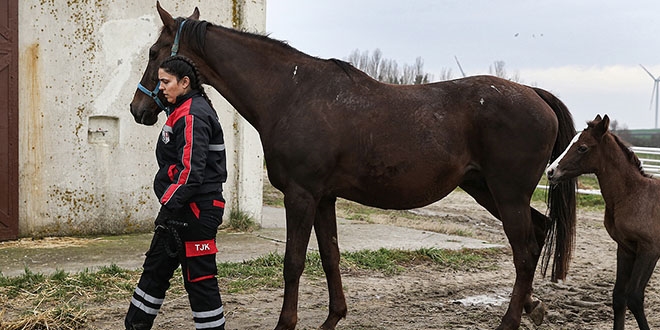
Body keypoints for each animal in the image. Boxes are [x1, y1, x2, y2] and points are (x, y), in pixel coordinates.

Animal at [131, 3, 576, 330]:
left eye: (154, 53)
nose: (138, 109)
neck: (292, 93)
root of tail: (534, 94)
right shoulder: (324, 198)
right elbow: (330, 256)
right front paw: (333, 318)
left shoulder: (301, 195)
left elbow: (294, 262)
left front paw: (286, 323)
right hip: (487, 190)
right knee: (537, 233)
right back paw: (533, 307)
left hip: (506, 193)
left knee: (524, 252)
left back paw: (509, 321)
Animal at [548, 114, 660, 330]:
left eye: (582, 147)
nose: (550, 171)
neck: (632, 195)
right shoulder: (625, 249)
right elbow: (619, 297)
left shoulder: (649, 250)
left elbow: (634, 297)